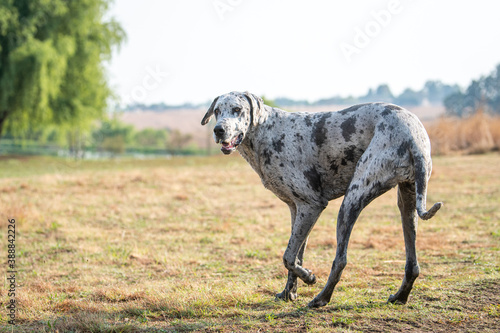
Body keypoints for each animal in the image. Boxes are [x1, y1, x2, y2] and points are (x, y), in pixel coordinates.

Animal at [200, 90, 442, 306]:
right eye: (217, 111)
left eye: (237, 110)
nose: (219, 130)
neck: (266, 132)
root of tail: (413, 136)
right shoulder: (297, 210)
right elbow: (296, 255)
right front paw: (289, 293)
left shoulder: (312, 206)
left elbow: (288, 257)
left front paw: (309, 277)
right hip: (407, 203)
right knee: (412, 264)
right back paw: (400, 296)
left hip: (351, 201)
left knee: (340, 260)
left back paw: (322, 298)